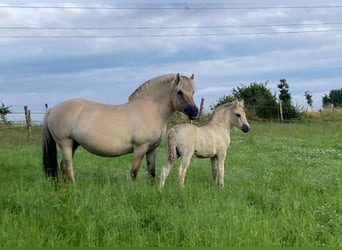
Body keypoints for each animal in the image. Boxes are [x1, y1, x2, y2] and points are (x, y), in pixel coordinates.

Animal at [42, 73, 199, 183]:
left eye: (193, 92)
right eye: (179, 92)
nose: (195, 112)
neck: (150, 110)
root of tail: (53, 109)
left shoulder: (151, 150)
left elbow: (152, 172)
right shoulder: (140, 148)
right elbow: (134, 172)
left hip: (73, 145)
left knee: (63, 167)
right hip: (65, 144)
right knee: (68, 168)